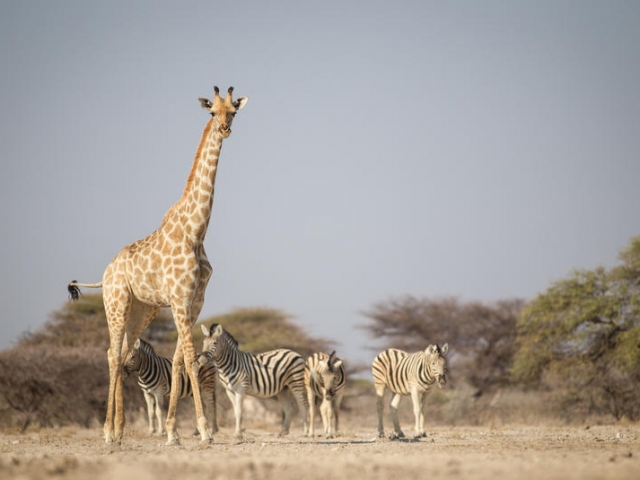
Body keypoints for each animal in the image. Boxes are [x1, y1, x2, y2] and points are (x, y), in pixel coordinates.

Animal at [68, 87, 248, 446]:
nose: (224, 129)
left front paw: (172, 432)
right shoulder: (179, 300)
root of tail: (105, 273)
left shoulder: (194, 302)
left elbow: (178, 361)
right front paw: (204, 431)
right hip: (116, 303)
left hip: (143, 309)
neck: (196, 230)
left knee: (122, 352)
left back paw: (120, 430)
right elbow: (190, 359)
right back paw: (107, 432)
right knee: (112, 354)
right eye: (212, 112)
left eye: (234, 111)